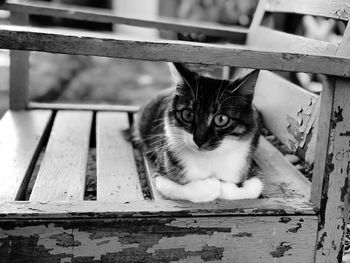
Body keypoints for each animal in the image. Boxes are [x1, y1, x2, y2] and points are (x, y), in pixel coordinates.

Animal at [137, 64, 262, 204]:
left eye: (221, 119)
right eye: (188, 114)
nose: (199, 140)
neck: (209, 157)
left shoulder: (249, 164)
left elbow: (255, 188)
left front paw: (223, 186)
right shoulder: (163, 170)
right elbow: (176, 188)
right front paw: (212, 185)